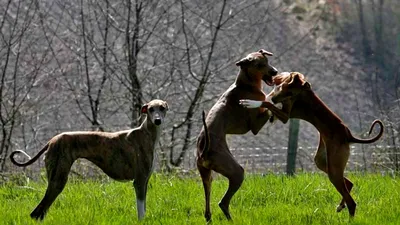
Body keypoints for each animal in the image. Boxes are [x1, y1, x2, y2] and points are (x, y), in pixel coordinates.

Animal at [9, 99, 169, 221]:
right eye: (150, 109)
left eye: (162, 108)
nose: (158, 120)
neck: (147, 133)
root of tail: (51, 141)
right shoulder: (139, 182)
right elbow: (141, 212)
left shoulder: (145, 181)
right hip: (58, 180)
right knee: (37, 211)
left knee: (40, 212)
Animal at [197, 49, 278, 221]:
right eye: (259, 65)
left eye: (267, 61)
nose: (275, 72)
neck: (246, 84)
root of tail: (203, 151)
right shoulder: (254, 126)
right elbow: (267, 102)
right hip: (236, 172)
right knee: (223, 202)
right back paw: (230, 218)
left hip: (206, 175)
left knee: (208, 202)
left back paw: (209, 218)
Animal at [239, 72, 382, 218]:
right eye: (285, 89)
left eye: (291, 93)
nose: (275, 98)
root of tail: (348, 136)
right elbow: (269, 103)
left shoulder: (285, 116)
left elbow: (267, 103)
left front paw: (251, 102)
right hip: (324, 162)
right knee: (349, 183)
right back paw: (340, 206)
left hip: (334, 169)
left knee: (351, 202)